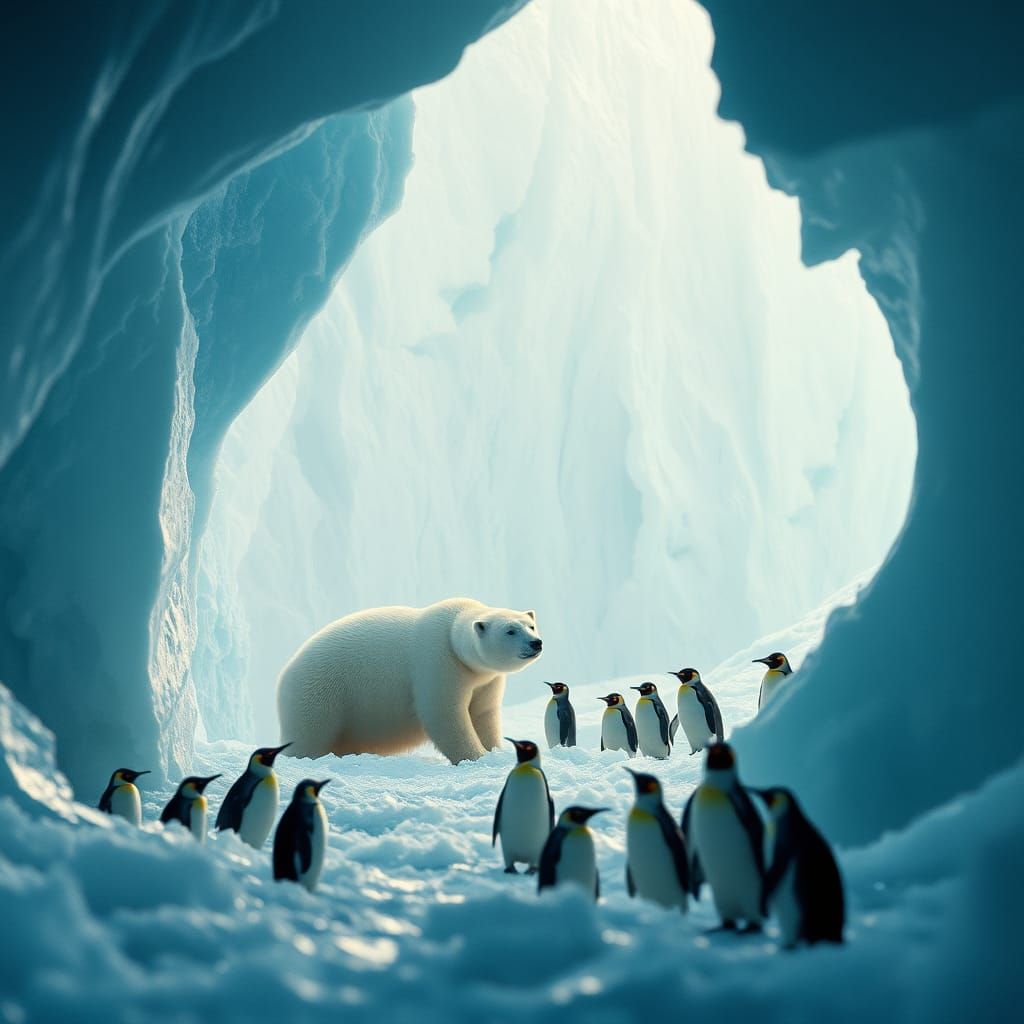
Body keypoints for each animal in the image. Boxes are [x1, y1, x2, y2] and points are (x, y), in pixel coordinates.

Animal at [276, 598, 543, 765]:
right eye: (510, 630)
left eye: (531, 625)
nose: (536, 643)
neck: (452, 635)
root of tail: (284, 675)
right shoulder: (437, 663)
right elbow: (445, 714)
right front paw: (475, 757)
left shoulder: (485, 679)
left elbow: (483, 712)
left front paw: (495, 751)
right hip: (319, 692)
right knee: (309, 733)